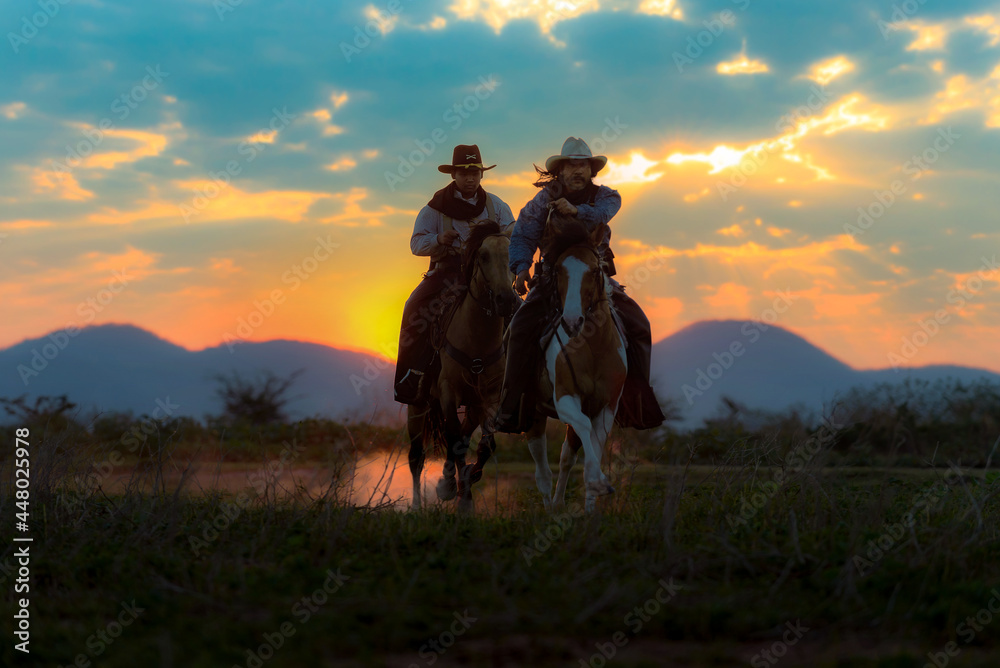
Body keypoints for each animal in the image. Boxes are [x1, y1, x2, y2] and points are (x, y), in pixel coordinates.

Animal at [406, 223, 520, 512]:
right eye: (483, 256)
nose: (504, 299)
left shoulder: (491, 397)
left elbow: (485, 444)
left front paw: (466, 479)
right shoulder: (449, 393)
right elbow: (454, 440)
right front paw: (461, 498)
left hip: (474, 405)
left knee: (464, 435)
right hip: (417, 405)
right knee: (417, 456)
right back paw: (418, 504)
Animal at [524, 217, 624, 516]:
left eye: (594, 270)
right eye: (557, 270)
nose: (571, 321)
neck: (595, 348)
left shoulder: (607, 405)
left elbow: (593, 442)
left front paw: (592, 503)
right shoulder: (565, 399)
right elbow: (585, 428)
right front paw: (597, 482)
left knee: (563, 458)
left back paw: (557, 505)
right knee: (541, 469)